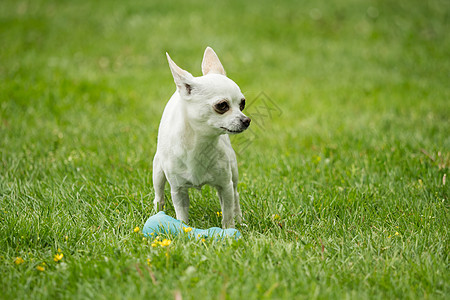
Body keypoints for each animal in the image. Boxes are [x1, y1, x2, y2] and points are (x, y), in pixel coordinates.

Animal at [151, 47, 250, 227]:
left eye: (242, 104)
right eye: (222, 105)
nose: (246, 120)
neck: (200, 143)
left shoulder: (225, 185)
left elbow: (227, 214)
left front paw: (230, 229)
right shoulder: (178, 191)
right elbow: (182, 216)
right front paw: (183, 230)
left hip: (233, 173)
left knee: (235, 197)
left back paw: (240, 220)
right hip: (158, 172)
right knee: (159, 196)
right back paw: (156, 212)